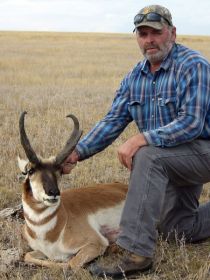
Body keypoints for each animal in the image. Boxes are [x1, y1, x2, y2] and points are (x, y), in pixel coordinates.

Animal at [18, 112, 127, 270]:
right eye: (30, 171)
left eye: (59, 171)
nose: (53, 192)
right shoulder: (38, 251)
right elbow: (27, 256)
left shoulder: (95, 243)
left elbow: (69, 264)